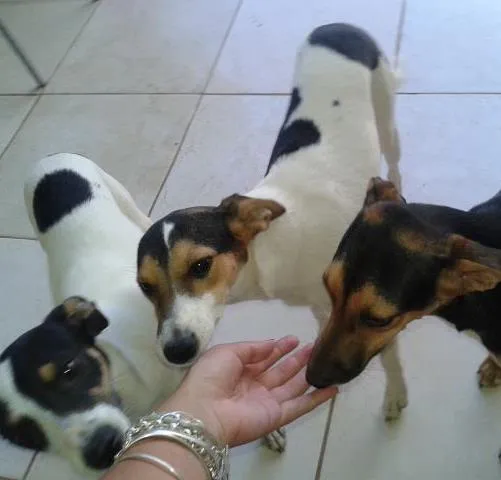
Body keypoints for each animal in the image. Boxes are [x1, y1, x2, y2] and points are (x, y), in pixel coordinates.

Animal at [136, 22, 406, 446]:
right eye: (145, 286)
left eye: (201, 266)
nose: (175, 351)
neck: (272, 248)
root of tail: (335, 25)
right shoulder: (321, 300)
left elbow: (390, 354)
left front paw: (394, 395)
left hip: (385, 118)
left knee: (393, 160)